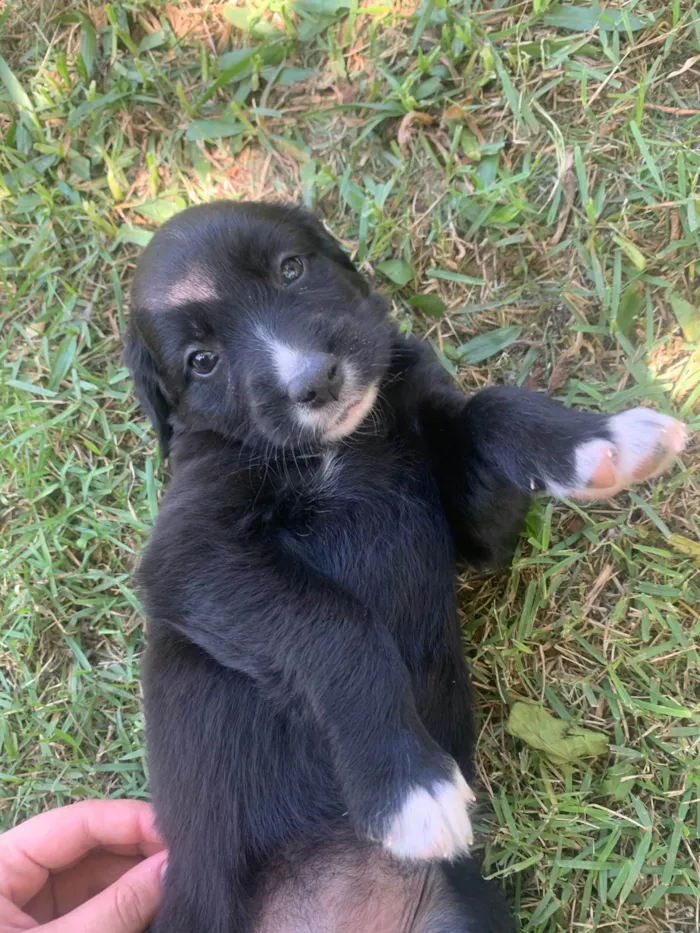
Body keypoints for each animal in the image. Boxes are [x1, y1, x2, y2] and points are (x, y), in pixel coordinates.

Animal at [124, 202, 684, 932]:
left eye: (291, 268)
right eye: (202, 362)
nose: (313, 381)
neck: (342, 445)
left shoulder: (472, 528)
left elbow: (490, 410)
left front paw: (598, 441)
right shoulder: (190, 554)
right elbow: (337, 627)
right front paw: (409, 787)